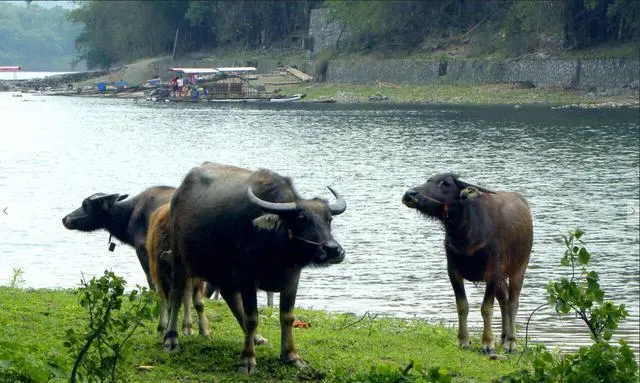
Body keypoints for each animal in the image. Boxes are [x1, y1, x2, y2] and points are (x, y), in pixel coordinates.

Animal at [144, 204, 208, 336]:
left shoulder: (196, 278)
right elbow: (170, 305)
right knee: (163, 299)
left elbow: (198, 303)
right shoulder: (165, 277)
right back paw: (162, 327)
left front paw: (204, 330)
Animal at [165, 163, 344, 376]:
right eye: (301, 218)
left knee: (229, 297)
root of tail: (178, 196)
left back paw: (257, 338)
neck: (275, 246)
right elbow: (252, 318)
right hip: (179, 259)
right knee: (177, 295)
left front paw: (291, 356)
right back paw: (171, 339)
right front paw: (247, 360)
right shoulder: (247, 278)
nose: (333, 250)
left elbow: (287, 317)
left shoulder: (292, 279)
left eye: (329, 219)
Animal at [402, 173, 532, 354]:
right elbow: (462, 306)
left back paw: (511, 342)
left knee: (513, 302)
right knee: (504, 299)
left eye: (446, 183)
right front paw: (463, 341)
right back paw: (503, 336)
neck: (466, 234)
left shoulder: (493, 273)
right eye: (429, 180)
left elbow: (486, 308)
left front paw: (487, 344)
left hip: (519, 268)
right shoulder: (453, 272)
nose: (410, 194)